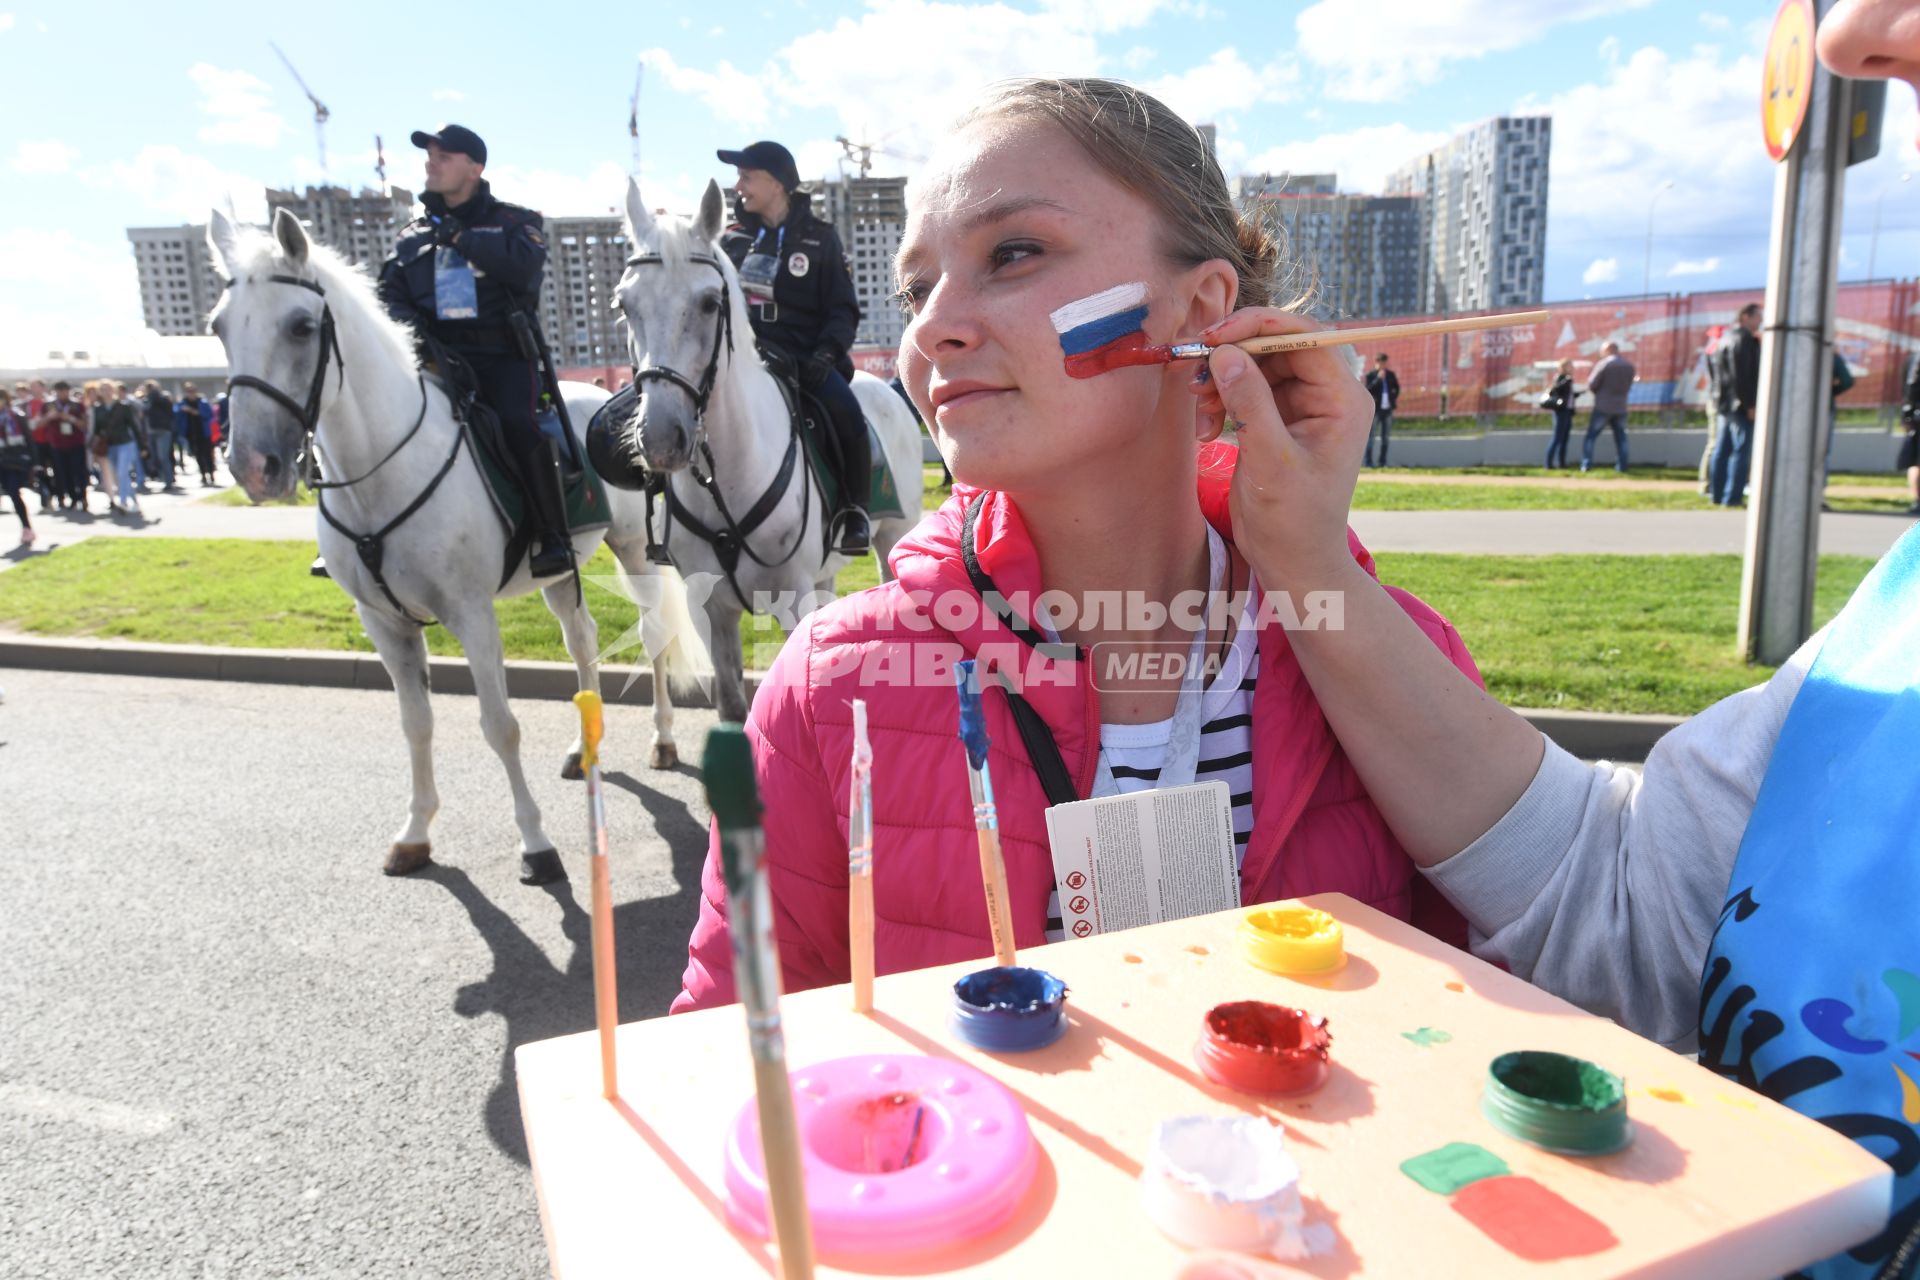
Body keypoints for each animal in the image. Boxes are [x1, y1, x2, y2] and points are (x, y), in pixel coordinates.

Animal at [208, 213, 698, 890]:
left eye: (301, 326)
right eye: (218, 326)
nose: (254, 465)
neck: (379, 473)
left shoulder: (471, 614)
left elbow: (500, 726)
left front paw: (536, 844)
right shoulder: (382, 624)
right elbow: (416, 723)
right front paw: (415, 834)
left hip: (632, 552)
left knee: (653, 636)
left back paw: (664, 740)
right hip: (561, 575)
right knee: (584, 642)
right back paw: (584, 748)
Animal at [602, 175, 925, 725]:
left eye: (710, 303)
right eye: (626, 305)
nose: (662, 438)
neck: (727, 479)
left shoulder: (791, 600)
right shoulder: (709, 609)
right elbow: (733, 705)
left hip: (891, 538)